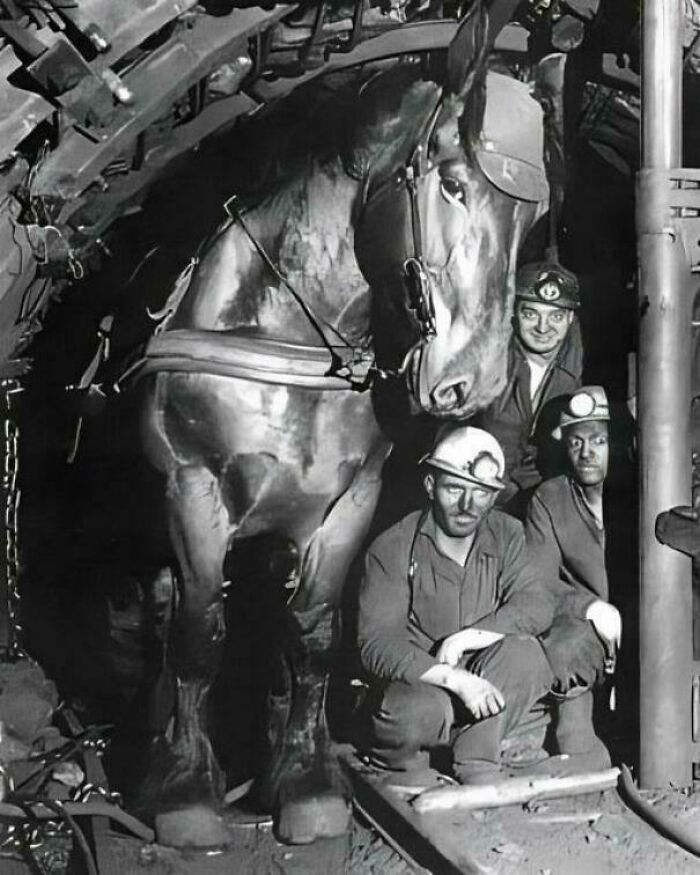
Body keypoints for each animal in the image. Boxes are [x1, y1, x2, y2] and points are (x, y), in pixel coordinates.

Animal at [131, 5, 548, 848]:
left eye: (536, 214)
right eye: (452, 182)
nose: (478, 383)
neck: (289, 338)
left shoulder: (347, 505)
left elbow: (316, 634)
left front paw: (307, 779)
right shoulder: (195, 494)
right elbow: (199, 633)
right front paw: (186, 792)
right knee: (167, 614)